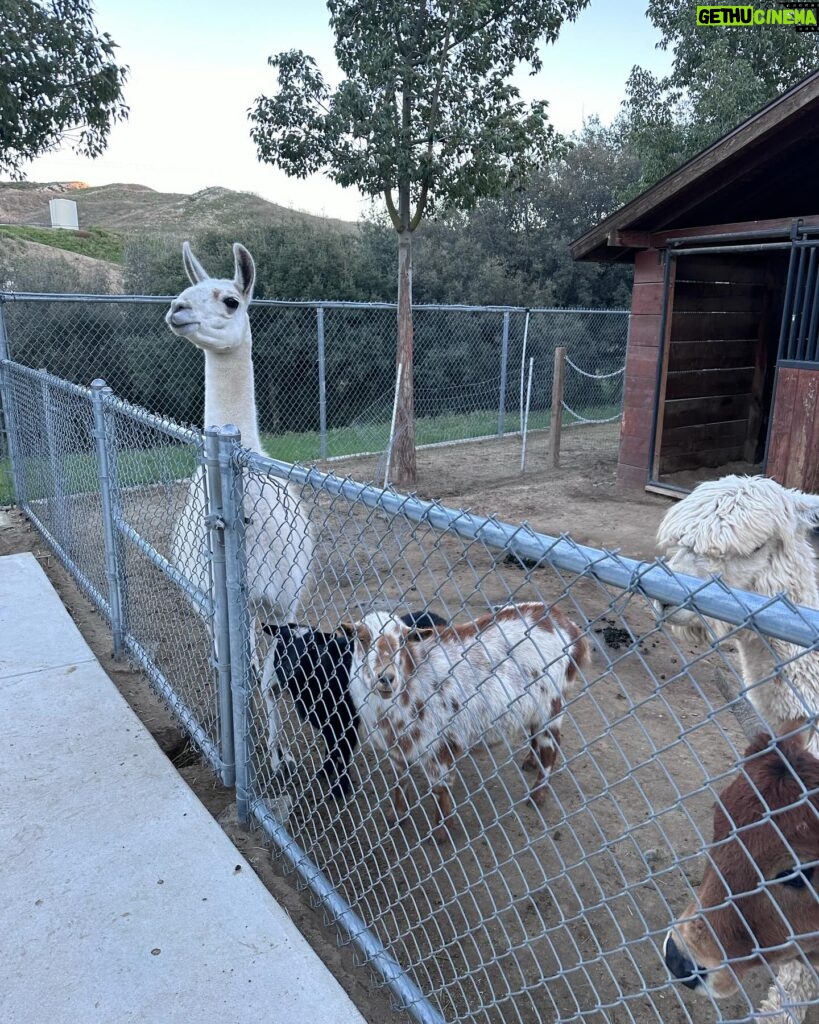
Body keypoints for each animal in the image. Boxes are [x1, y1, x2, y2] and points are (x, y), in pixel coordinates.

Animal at [343, 598, 589, 839]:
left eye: (403, 641)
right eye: (361, 639)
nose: (386, 678)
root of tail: (567, 625)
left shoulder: (438, 745)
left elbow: (439, 789)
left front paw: (441, 831)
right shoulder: (397, 747)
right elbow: (399, 780)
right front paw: (397, 816)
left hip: (552, 703)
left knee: (552, 745)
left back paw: (537, 794)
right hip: (536, 706)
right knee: (536, 732)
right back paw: (530, 761)